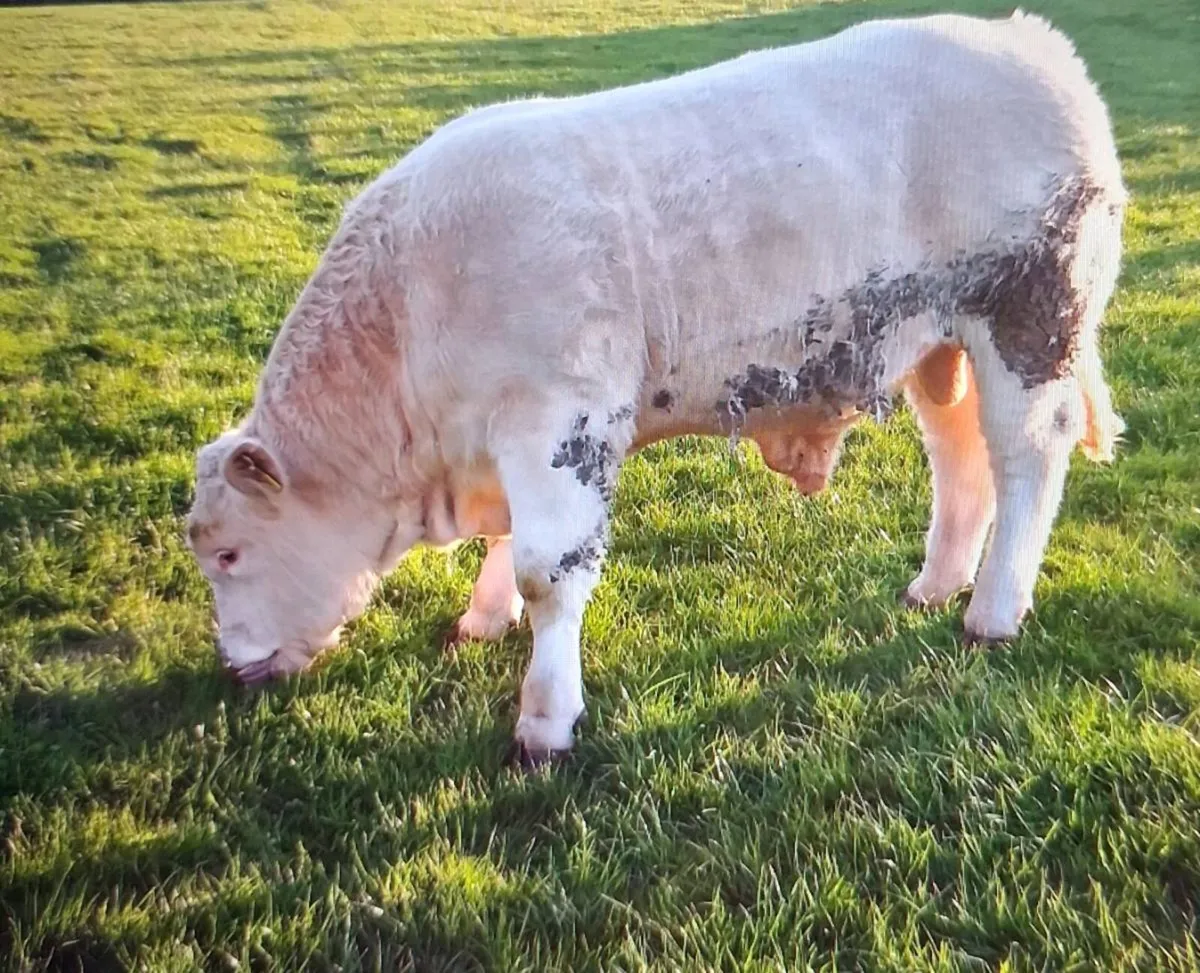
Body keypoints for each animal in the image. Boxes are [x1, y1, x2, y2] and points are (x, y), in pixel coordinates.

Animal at [186, 10, 1126, 765]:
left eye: (228, 553)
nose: (232, 666)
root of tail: (1026, 39)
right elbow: (507, 544)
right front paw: (481, 617)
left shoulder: (558, 418)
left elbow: (546, 569)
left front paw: (544, 721)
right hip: (940, 342)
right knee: (959, 454)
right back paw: (937, 582)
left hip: (1030, 316)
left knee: (1025, 456)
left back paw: (992, 611)